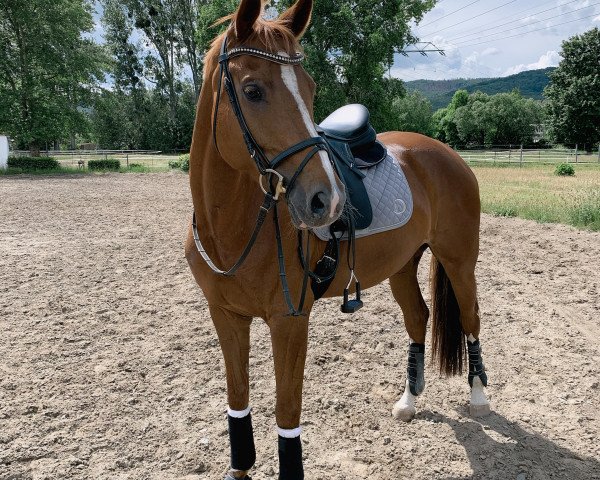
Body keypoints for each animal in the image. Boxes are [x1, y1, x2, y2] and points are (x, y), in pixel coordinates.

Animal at [185, 0, 490, 476]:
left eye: (310, 88)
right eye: (252, 90)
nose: (326, 199)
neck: (232, 232)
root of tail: (447, 153)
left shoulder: (290, 321)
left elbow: (286, 415)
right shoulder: (226, 316)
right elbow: (238, 406)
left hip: (459, 261)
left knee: (471, 317)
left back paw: (479, 397)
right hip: (402, 265)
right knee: (418, 318)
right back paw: (408, 402)